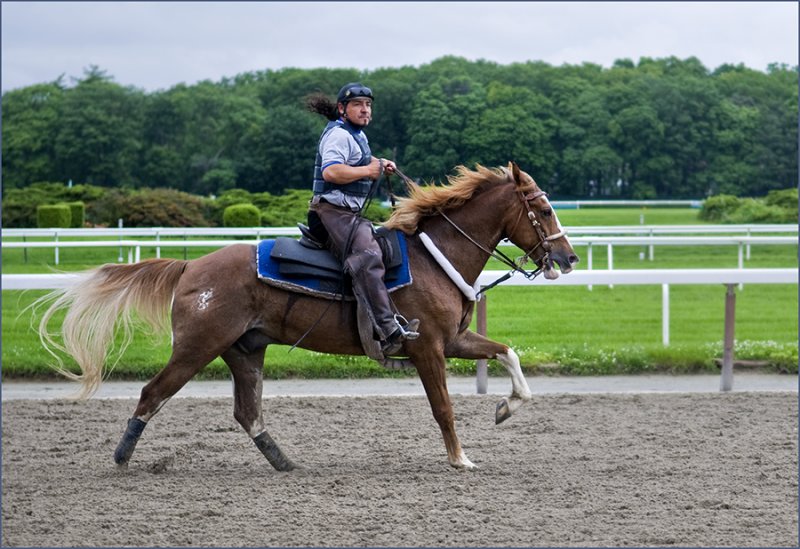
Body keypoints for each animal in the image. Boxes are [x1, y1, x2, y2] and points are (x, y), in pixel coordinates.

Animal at [37, 161, 580, 468]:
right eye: (543, 209)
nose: (569, 257)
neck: (433, 257)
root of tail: (192, 264)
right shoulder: (428, 348)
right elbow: (443, 408)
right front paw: (460, 459)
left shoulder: (454, 341)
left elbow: (508, 354)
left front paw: (506, 407)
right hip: (197, 347)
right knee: (153, 393)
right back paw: (122, 457)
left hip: (245, 352)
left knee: (247, 411)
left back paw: (283, 461)